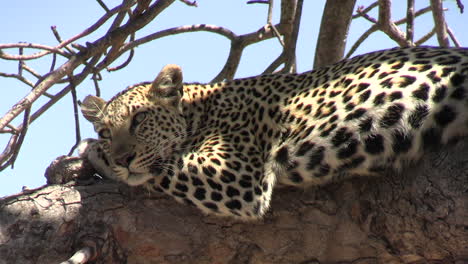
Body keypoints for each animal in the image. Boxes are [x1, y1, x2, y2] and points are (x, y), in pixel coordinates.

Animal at [78, 46, 468, 220]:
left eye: (140, 119)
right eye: (106, 131)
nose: (122, 158)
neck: (199, 109)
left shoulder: (234, 175)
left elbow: (163, 168)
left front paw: (88, 154)